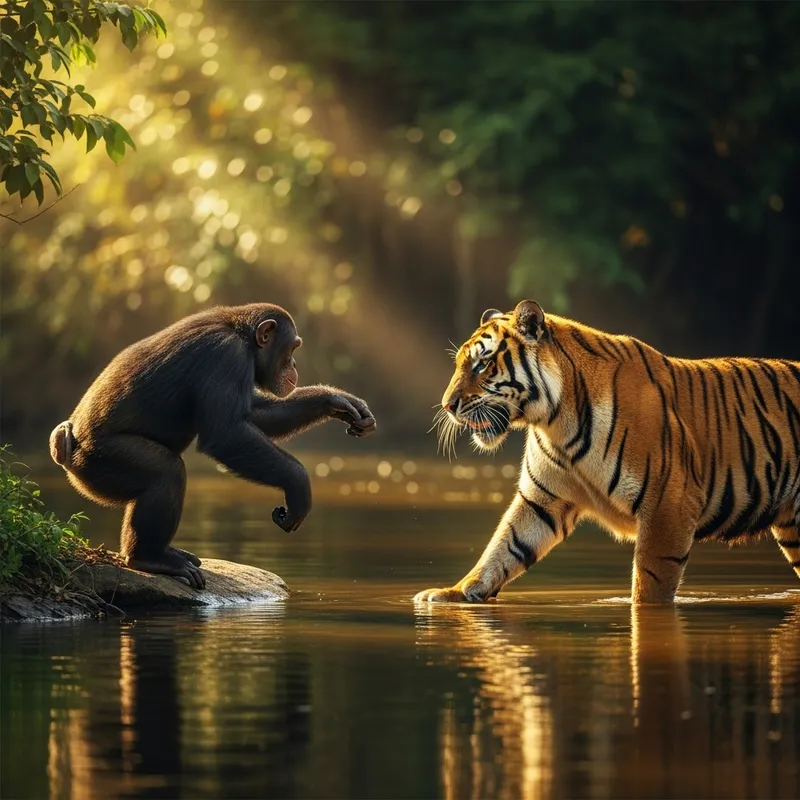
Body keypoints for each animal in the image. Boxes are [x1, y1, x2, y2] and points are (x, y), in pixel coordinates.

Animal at [49, 303, 376, 589]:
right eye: (292, 349)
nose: (294, 364)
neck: (242, 336)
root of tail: (64, 445)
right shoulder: (227, 356)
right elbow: (226, 432)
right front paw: (299, 486)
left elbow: (253, 413)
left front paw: (337, 401)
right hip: (100, 461)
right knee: (166, 471)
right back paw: (150, 559)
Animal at [414, 300, 800, 604]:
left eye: (482, 364)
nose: (447, 405)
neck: (555, 421)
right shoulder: (541, 499)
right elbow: (502, 548)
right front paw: (453, 593)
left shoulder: (668, 504)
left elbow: (650, 584)